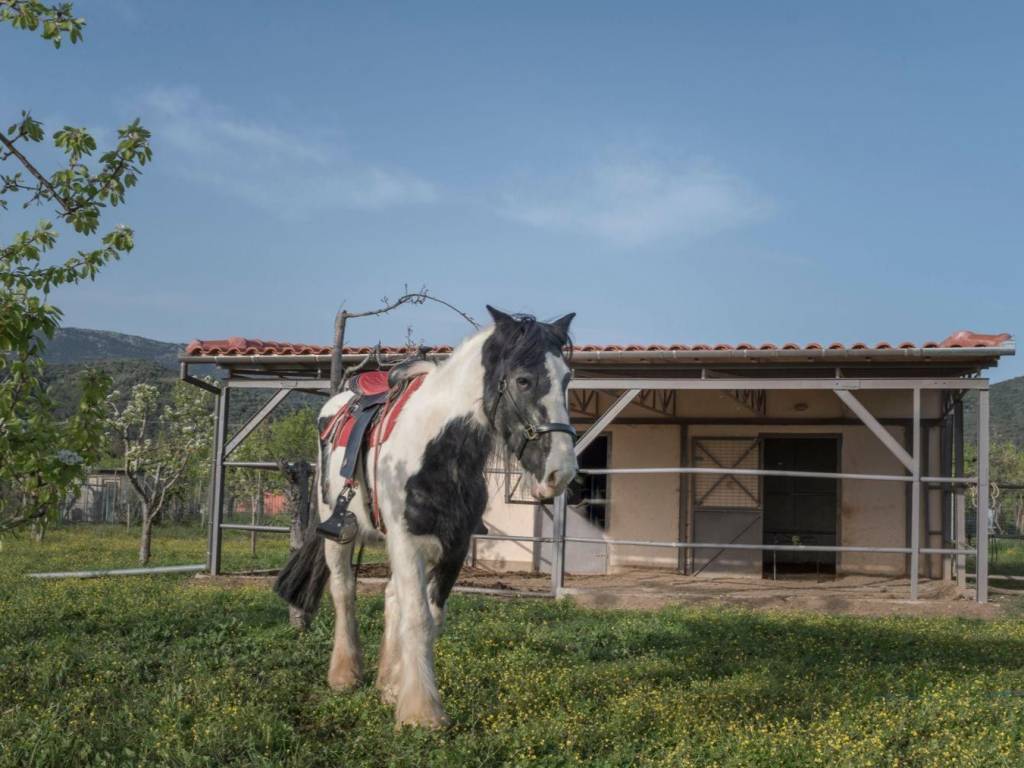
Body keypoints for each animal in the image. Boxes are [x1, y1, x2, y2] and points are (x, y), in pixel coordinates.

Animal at [272, 307, 577, 729]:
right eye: (523, 380)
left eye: (566, 378)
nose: (560, 473)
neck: (439, 451)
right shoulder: (405, 539)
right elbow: (416, 618)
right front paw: (421, 713)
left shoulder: (454, 546)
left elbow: (430, 617)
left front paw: (403, 692)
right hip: (340, 532)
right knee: (345, 592)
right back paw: (345, 674)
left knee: (391, 596)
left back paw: (387, 682)